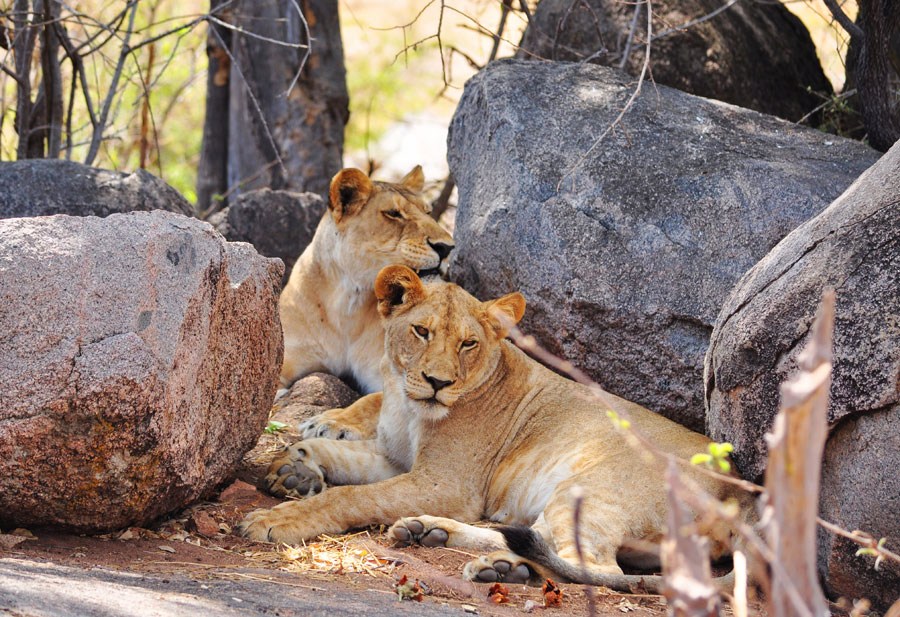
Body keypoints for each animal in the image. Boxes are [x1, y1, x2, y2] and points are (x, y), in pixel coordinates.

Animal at [241, 266, 754, 593]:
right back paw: (432, 534)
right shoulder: (395, 459)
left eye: (468, 343)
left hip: (591, 489)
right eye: (422, 332)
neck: (407, 406)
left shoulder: (446, 482)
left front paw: (279, 520)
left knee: (588, 566)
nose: (438, 383)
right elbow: (333, 454)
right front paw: (293, 469)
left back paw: (505, 570)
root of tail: (746, 493)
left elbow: (351, 497)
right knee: (535, 538)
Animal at [278, 166, 453, 440]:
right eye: (393, 213)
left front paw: (331, 422)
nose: (447, 247)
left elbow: (370, 401)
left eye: (427, 212)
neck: (348, 302)